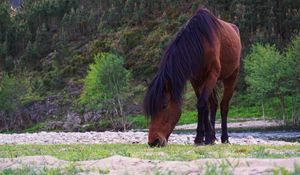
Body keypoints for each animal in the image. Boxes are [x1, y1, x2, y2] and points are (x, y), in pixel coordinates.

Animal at [144, 8, 241, 148]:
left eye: (164, 106)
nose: (154, 141)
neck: (200, 42)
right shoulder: (195, 80)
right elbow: (203, 106)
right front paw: (203, 137)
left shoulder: (211, 75)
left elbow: (201, 104)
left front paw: (204, 138)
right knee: (213, 104)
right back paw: (213, 136)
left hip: (231, 77)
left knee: (224, 106)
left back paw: (224, 138)